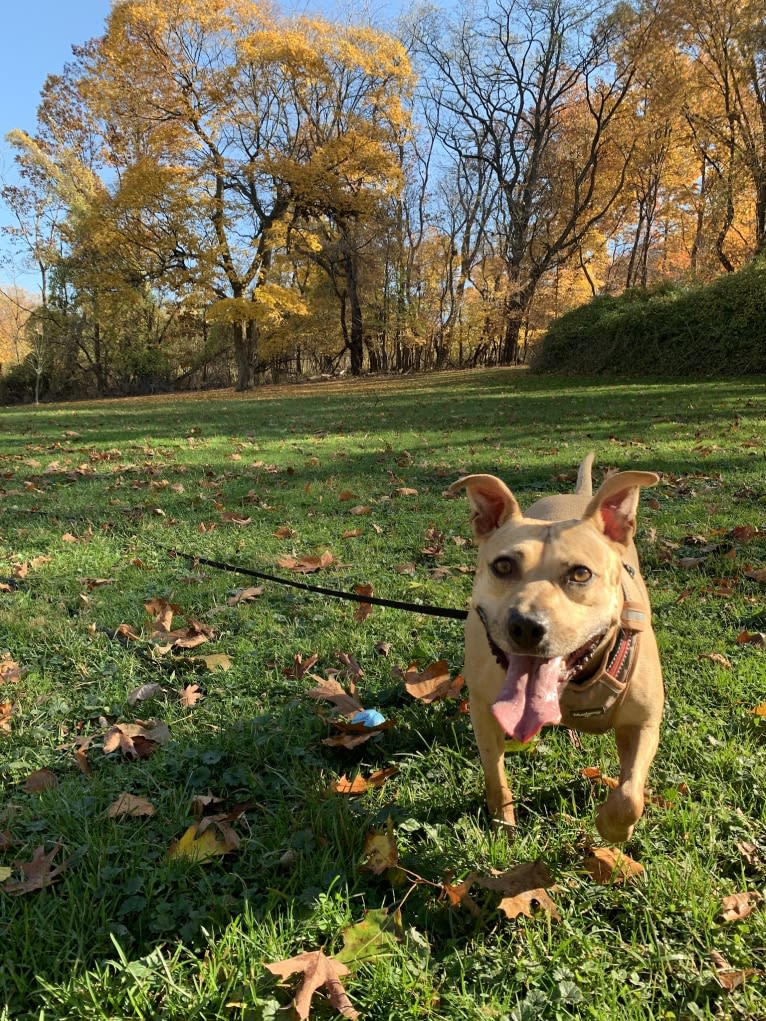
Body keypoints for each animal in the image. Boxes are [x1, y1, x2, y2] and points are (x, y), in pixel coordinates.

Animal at [453, 459, 661, 841]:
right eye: (503, 566)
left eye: (580, 574)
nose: (525, 625)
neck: (575, 685)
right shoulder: (483, 708)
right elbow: (495, 774)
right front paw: (503, 824)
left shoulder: (643, 723)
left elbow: (629, 795)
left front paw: (610, 827)